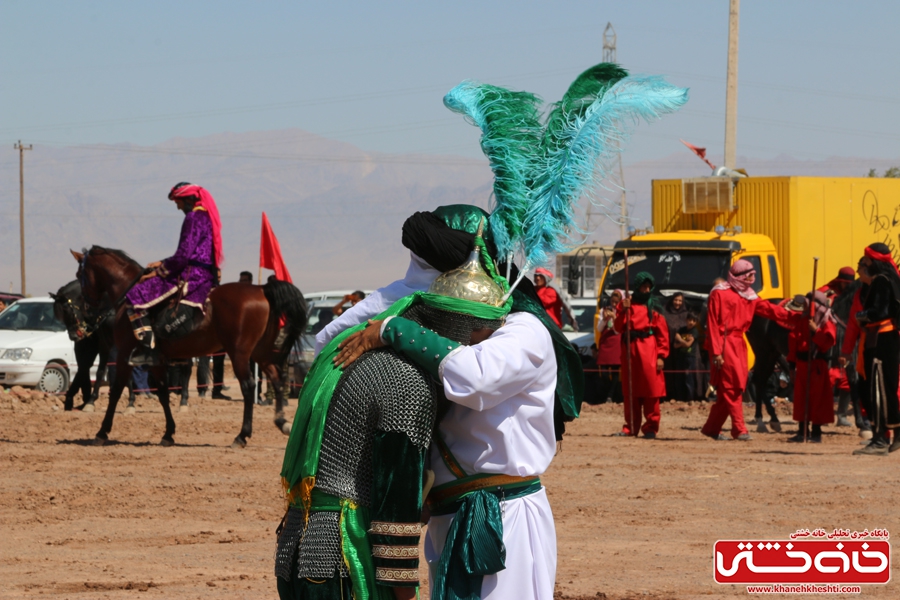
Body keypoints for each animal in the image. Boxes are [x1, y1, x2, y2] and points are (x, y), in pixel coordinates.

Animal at [71, 246, 310, 448]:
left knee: (249, 386)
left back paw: (242, 436)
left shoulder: (123, 355)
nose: (87, 310)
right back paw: (282, 422)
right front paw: (168, 433)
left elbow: (116, 390)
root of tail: (261, 289)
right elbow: (163, 393)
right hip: (260, 353)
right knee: (277, 379)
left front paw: (102, 432)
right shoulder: (156, 360)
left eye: (78, 275)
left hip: (240, 353)